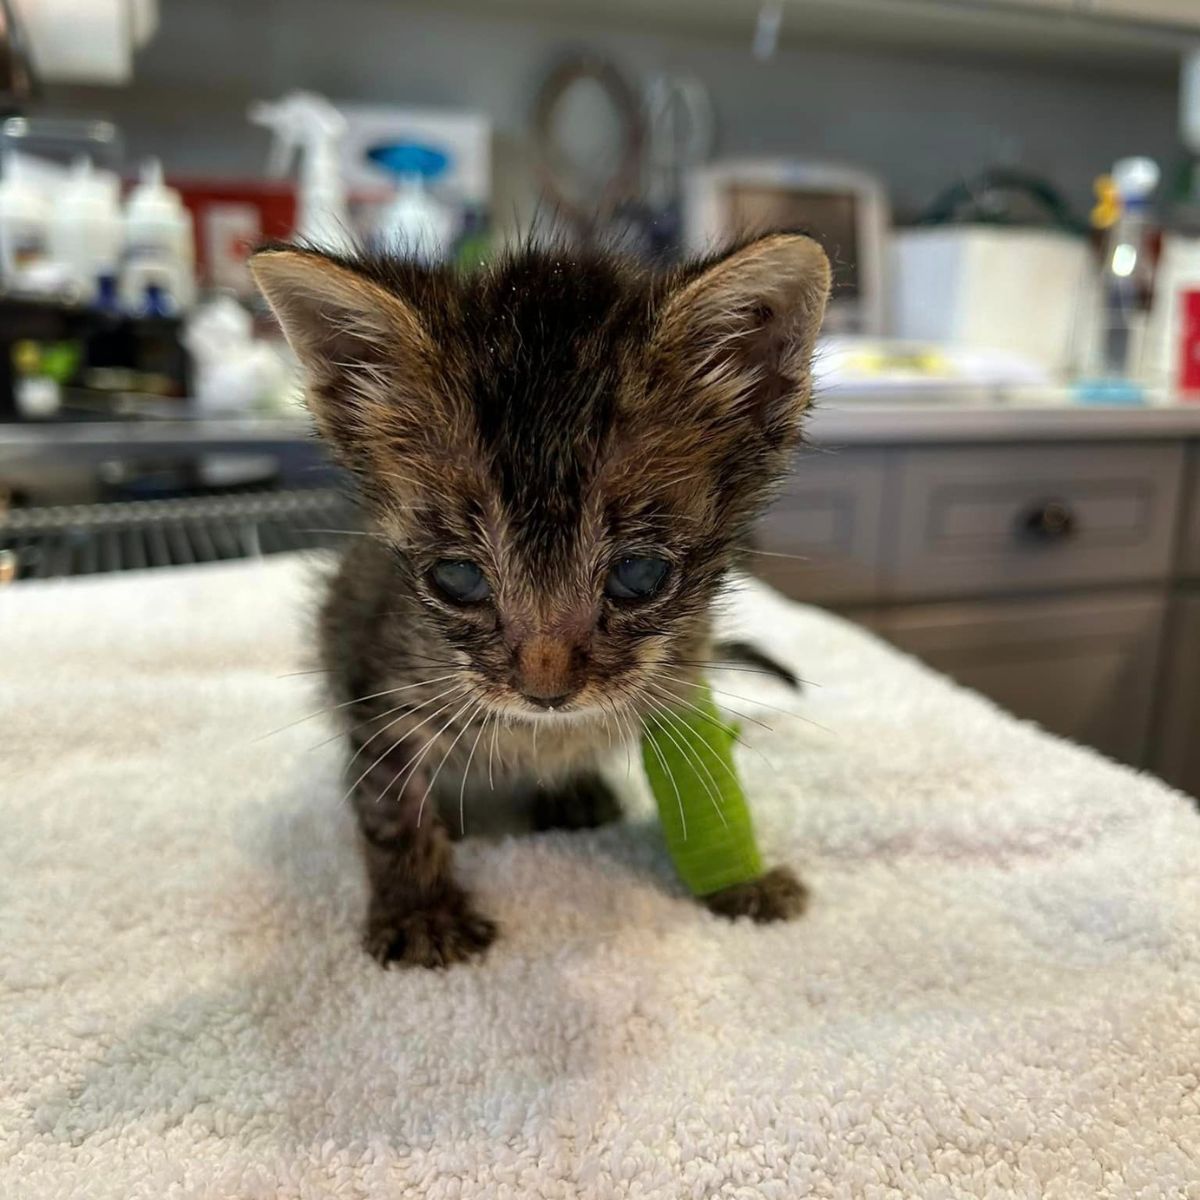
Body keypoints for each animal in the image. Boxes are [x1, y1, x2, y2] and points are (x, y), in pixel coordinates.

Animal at [250, 231, 835, 964]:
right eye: (458, 578)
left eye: (639, 574)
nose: (546, 691)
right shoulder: (374, 682)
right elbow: (389, 805)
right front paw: (420, 909)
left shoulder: (681, 680)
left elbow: (706, 783)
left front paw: (740, 883)